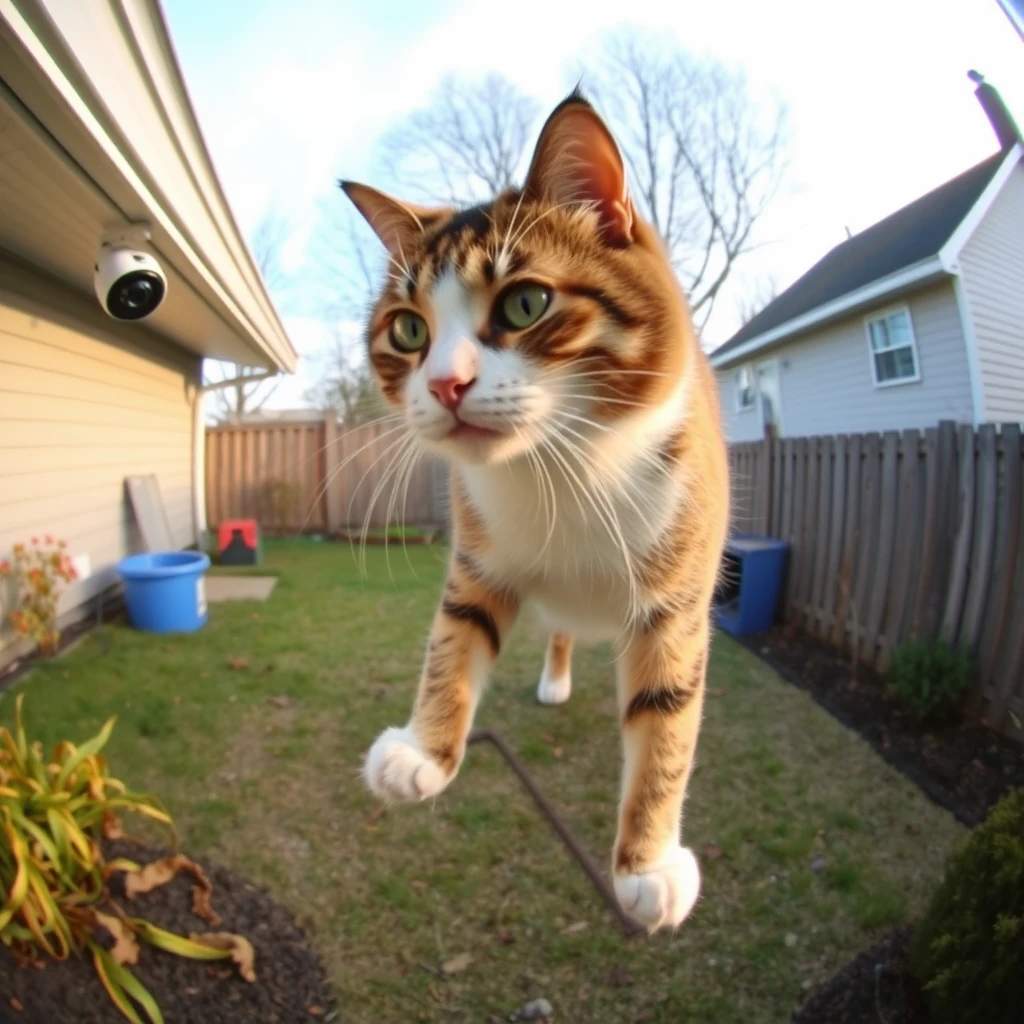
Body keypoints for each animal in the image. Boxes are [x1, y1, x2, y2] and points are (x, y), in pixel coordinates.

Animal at [344, 90, 729, 937]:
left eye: (526, 302)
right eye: (408, 329)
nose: (445, 384)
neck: (563, 470)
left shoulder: (679, 586)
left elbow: (669, 713)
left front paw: (649, 867)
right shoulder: (478, 551)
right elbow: (454, 639)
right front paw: (421, 753)